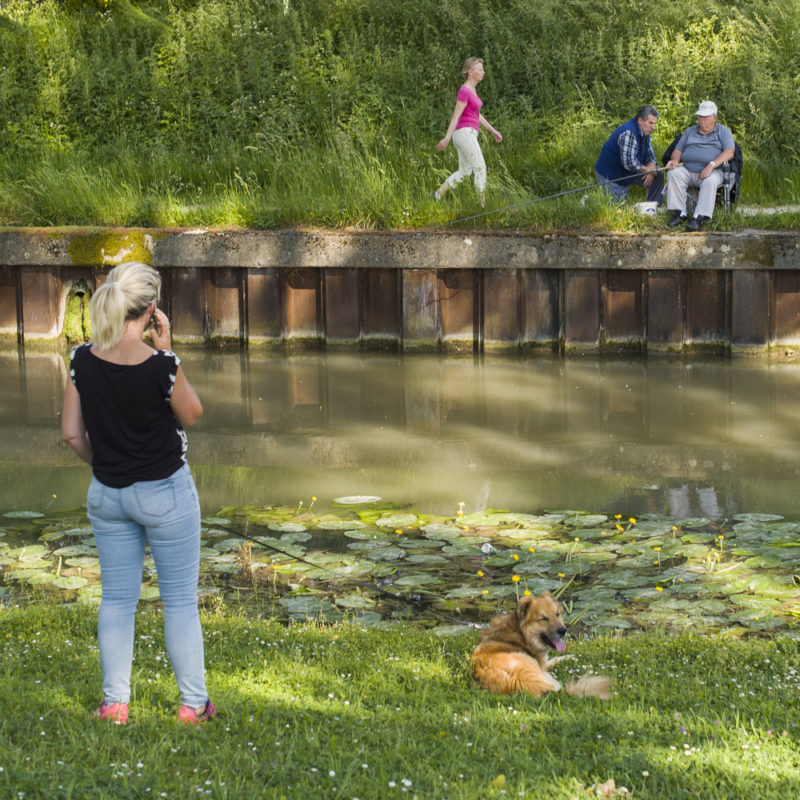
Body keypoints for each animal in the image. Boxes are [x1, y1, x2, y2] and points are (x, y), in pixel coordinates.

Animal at [472, 592, 608, 696]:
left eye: (557, 614)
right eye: (543, 619)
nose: (563, 630)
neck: (521, 633)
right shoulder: (542, 664)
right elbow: (553, 660)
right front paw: (571, 657)